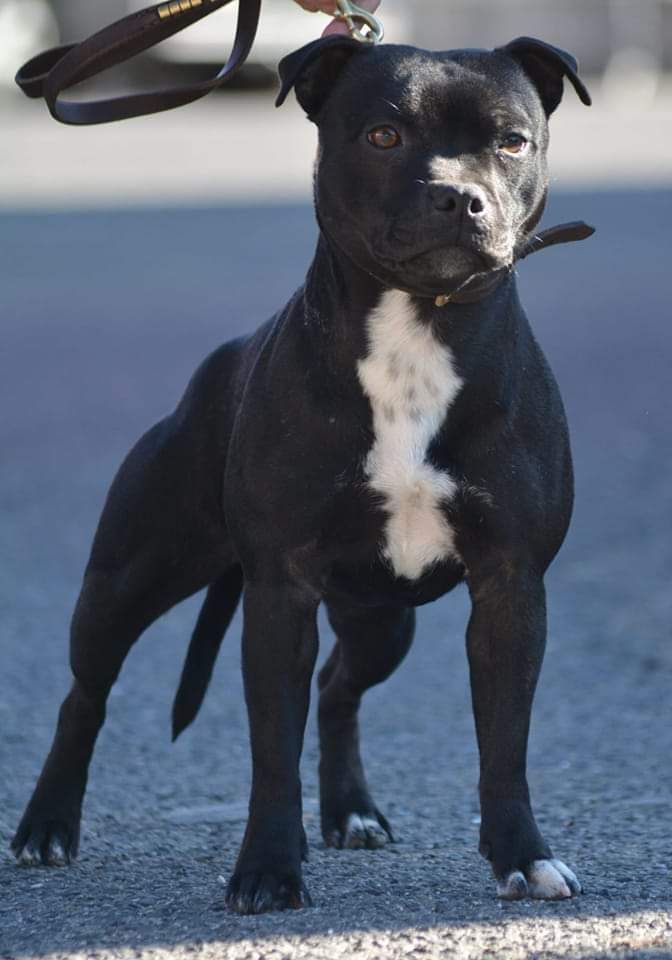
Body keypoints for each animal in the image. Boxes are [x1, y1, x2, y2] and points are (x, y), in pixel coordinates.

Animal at [13, 35, 592, 916]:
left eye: (513, 141)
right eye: (384, 135)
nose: (459, 198)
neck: (418, 330)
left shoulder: (509, 587)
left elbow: (504, 744)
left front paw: (523, 856)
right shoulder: (279, 592)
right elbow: (270, 753)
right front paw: (266, 870)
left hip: (381, 620)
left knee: (336, 688)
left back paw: (351, 810)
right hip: (127, 580)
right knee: (86, 694)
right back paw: (46, 825)